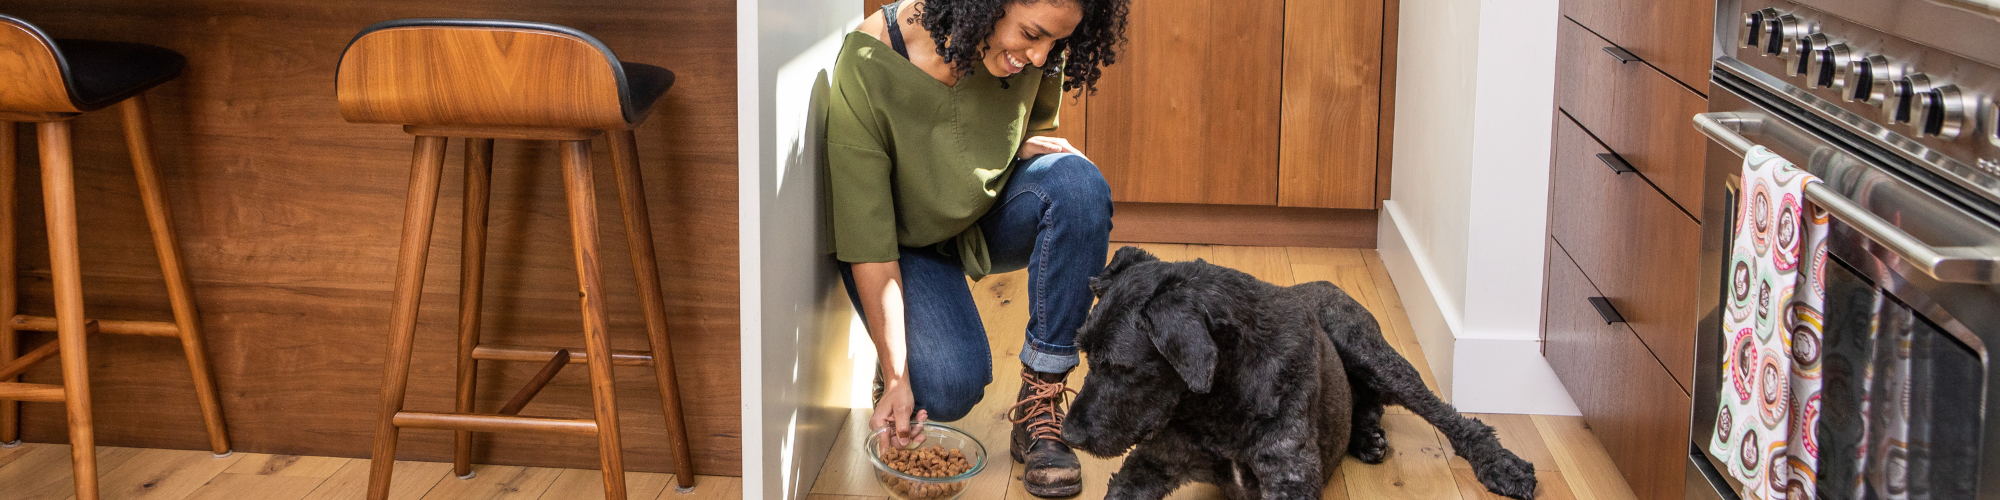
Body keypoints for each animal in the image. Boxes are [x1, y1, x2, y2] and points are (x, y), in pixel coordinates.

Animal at [1072, 247, 1536, 500]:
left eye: (1120, 368)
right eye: (1084, 354)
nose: (1071, 435)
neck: (1216, 401)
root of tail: (1321, 283)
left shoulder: (1289, 476)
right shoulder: (1150, 464)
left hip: (1376, 357)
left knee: (1455, 418)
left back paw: (1502, 465)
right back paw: (1365, 437)